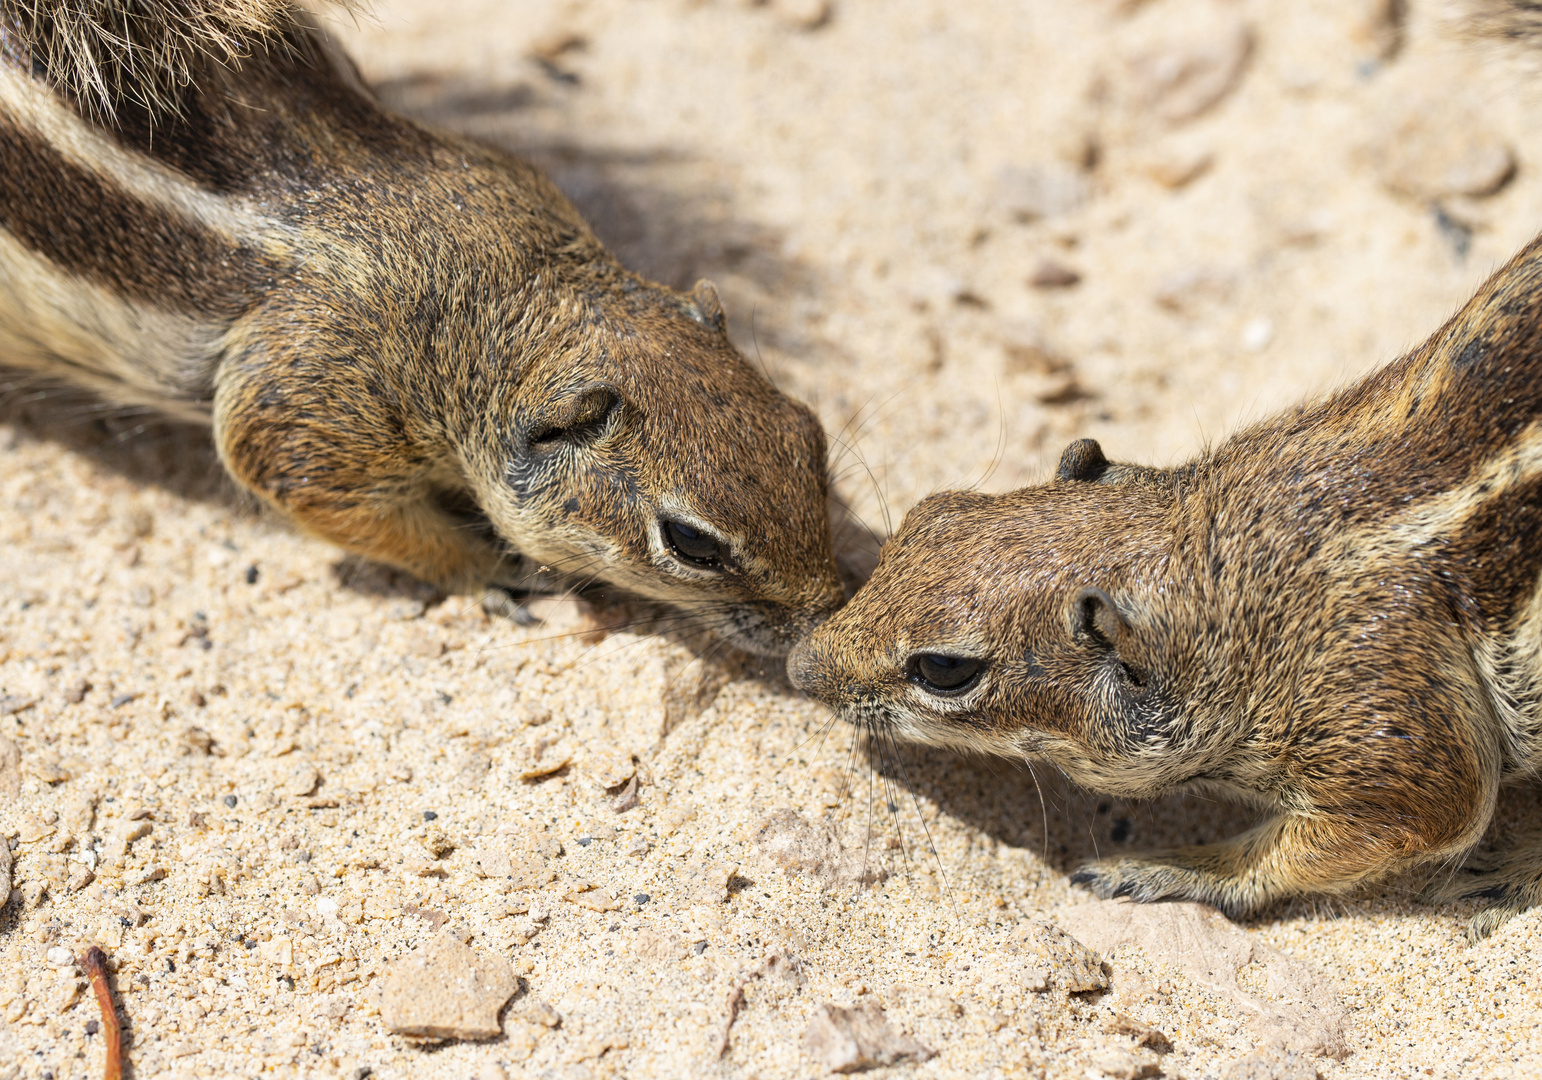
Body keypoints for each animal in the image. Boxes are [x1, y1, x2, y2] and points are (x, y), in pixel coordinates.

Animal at [0, 0, 845, 654]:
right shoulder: (306, 414)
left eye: (811, 437)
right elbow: (349, 512)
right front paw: (489, 569)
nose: (827, 611)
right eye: (692, 543)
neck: (498, 286)